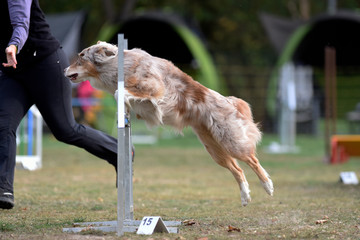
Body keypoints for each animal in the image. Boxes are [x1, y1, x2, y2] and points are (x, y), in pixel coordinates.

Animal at [64, 41, 272, 206]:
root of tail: (228, 101)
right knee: (237, 169)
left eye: (81, 58)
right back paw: (245, 197)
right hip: (214, 149)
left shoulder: (154, 88)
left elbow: (120, 92)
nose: (64, 70)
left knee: (252, 159)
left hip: (231, 141)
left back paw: (268, 186)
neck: (117, 65)